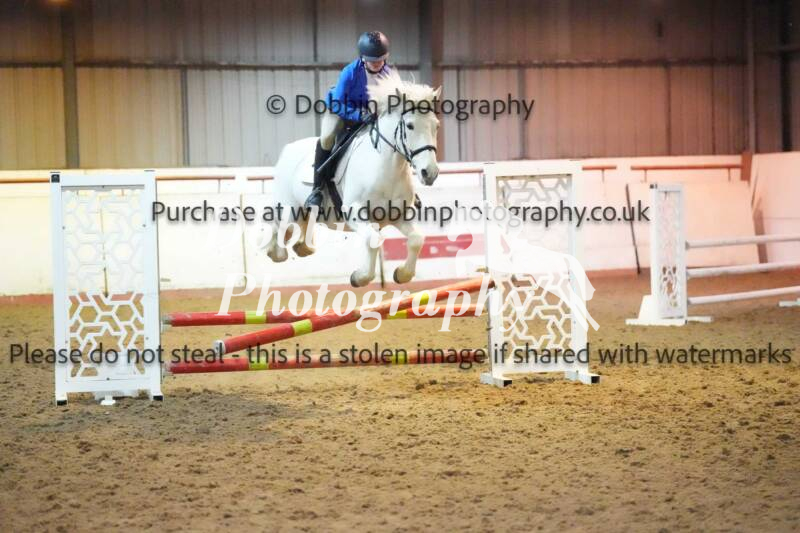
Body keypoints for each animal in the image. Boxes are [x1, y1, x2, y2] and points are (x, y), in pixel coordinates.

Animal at [264, 72, 441, 287]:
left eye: (436, 126)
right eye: (410, 125)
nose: (429, 173)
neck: (386, 169)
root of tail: (287, 149)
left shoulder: (398, 215)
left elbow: (416, 239)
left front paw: (402, 274)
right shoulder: (354, 212)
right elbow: (373, 239)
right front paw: (360, 277)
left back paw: (303, 247)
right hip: (289, 208)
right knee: (281, 229)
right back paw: (276, 251)